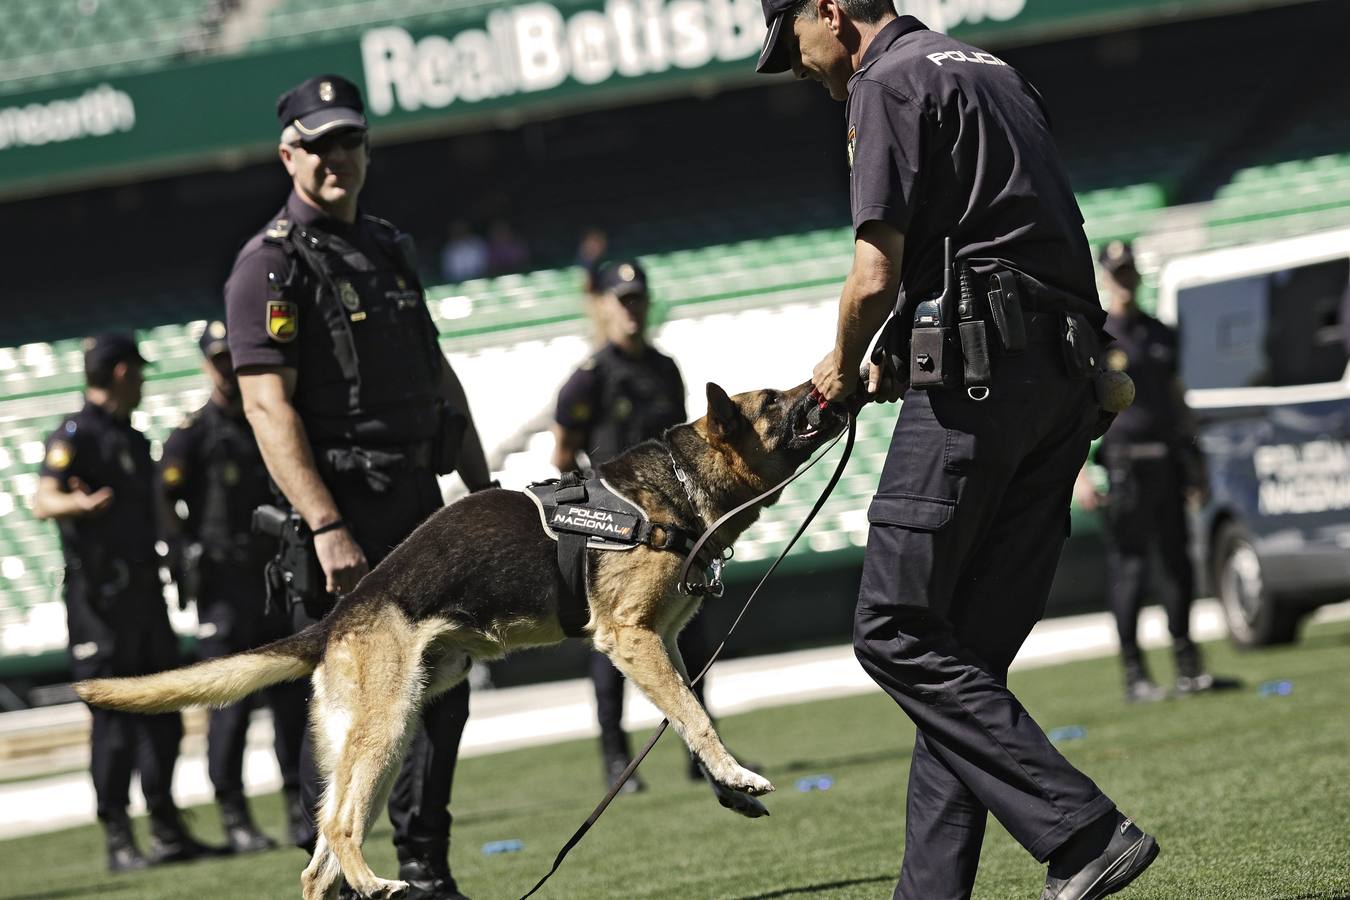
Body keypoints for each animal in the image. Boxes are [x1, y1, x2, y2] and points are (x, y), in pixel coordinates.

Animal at [73, 383, 842, 900]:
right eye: (774, 400)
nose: (826, 386)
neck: (673, 489)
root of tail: (340, 614)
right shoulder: (629, 638)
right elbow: (694, 715)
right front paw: (738, 775)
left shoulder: (662, 647)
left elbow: (684, 713)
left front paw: (728, 788)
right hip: (386, 730)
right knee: (339, 829)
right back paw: (374, 880)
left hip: (382, 738)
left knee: (317, 860)